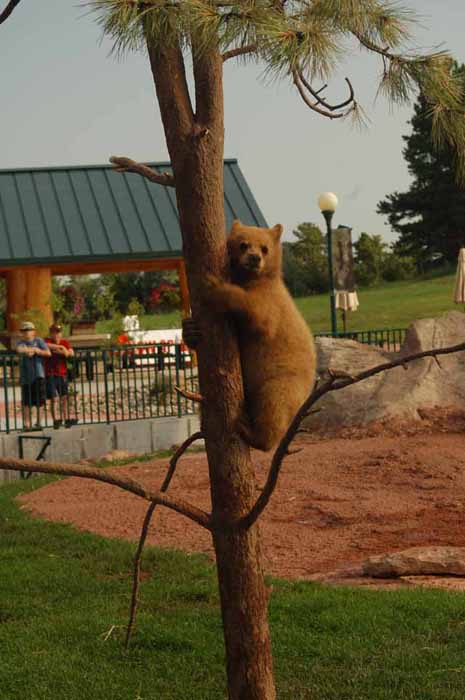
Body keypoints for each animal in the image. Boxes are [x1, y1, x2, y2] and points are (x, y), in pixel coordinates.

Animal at [184, 219, 316, 452]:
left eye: (264, 248)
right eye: (243, 244)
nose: (254, 258)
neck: (251, 278)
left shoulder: (271, 301)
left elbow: (258, 316)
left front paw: (214, 285)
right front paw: (189, 328)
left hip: (283, 382)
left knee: (274, 405)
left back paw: (253, 433)